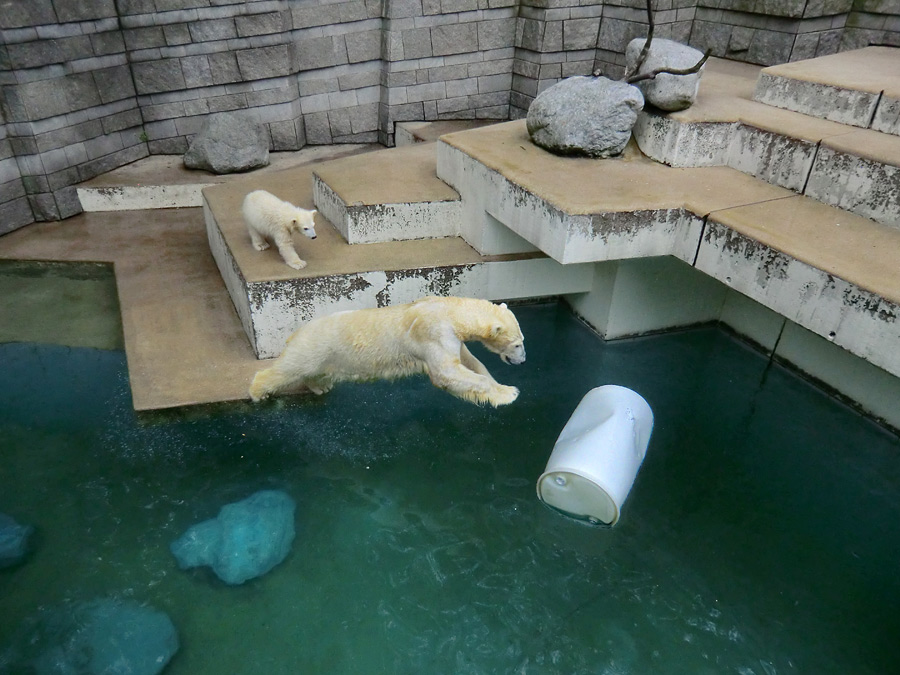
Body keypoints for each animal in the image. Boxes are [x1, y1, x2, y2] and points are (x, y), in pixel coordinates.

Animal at [250, 298, 524, 406]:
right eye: (518, 344)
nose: (522, 361)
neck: (447, 310)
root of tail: (297, 332)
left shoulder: (452, 337)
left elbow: (470, 362)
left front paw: (499, 385)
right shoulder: (433, 333)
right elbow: (446, 372)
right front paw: (509, 393)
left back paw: (321, 387)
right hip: (314, 346)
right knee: (289, 368)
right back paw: (257, 392)